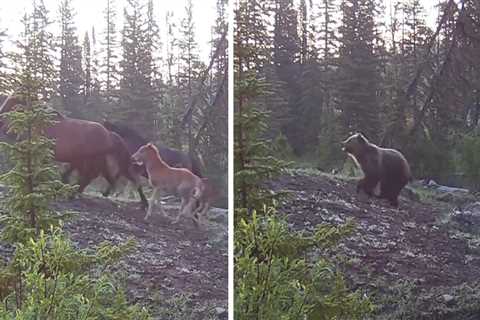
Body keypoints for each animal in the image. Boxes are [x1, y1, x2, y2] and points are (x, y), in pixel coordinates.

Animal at [0, 95, 148, 210]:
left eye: (13, 102)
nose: (2, 120)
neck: (42, 124)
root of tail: (109, 134)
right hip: (93, 159)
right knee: (101, 176)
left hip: (91, 159)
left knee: (92, 176)